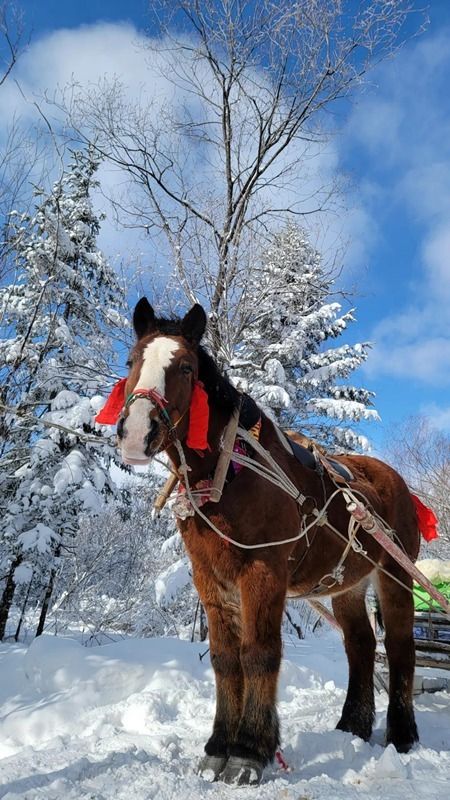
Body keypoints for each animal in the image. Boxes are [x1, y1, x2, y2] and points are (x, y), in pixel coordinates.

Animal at [118, 300, 420, 788]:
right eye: (131, 361)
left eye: (184, 367)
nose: (135, 431)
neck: (229, 474)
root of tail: (393, 479)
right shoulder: (211, 577)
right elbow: (226, 658)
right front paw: (218, 747)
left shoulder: (262, 572)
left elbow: (259, 654)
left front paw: (247, 752)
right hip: (347, 586)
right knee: (359, 644)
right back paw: (352, 725)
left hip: (395, 575)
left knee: (398, 646)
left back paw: (403, 733)